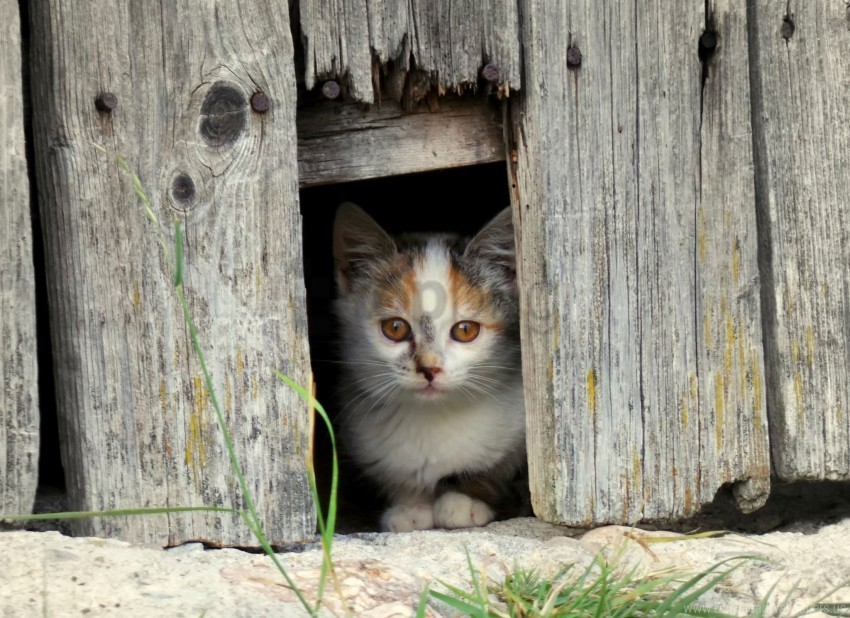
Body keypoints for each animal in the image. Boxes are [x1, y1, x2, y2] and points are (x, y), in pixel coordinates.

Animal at [330, 202, 524, 528]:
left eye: (466, 330)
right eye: (395, 328)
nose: (429, 368)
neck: (434, 415)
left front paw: (464, 500)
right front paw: (410, 508)